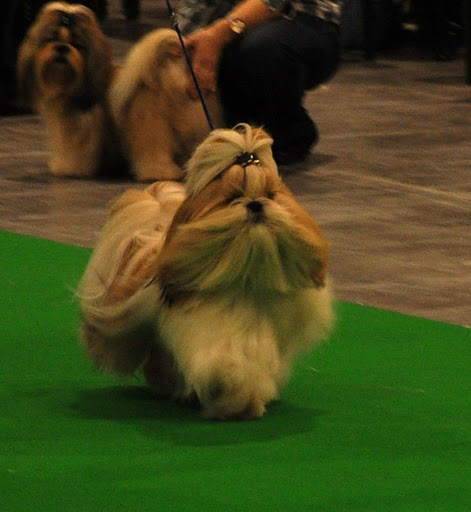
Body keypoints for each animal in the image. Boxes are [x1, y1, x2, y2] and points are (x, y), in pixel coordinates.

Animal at [79, 124, 334, 420]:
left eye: (271, 195)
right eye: (233, 198)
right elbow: (226, 365)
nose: (256, 204)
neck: (247, 277)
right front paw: (236, 400)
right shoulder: (215, 335)